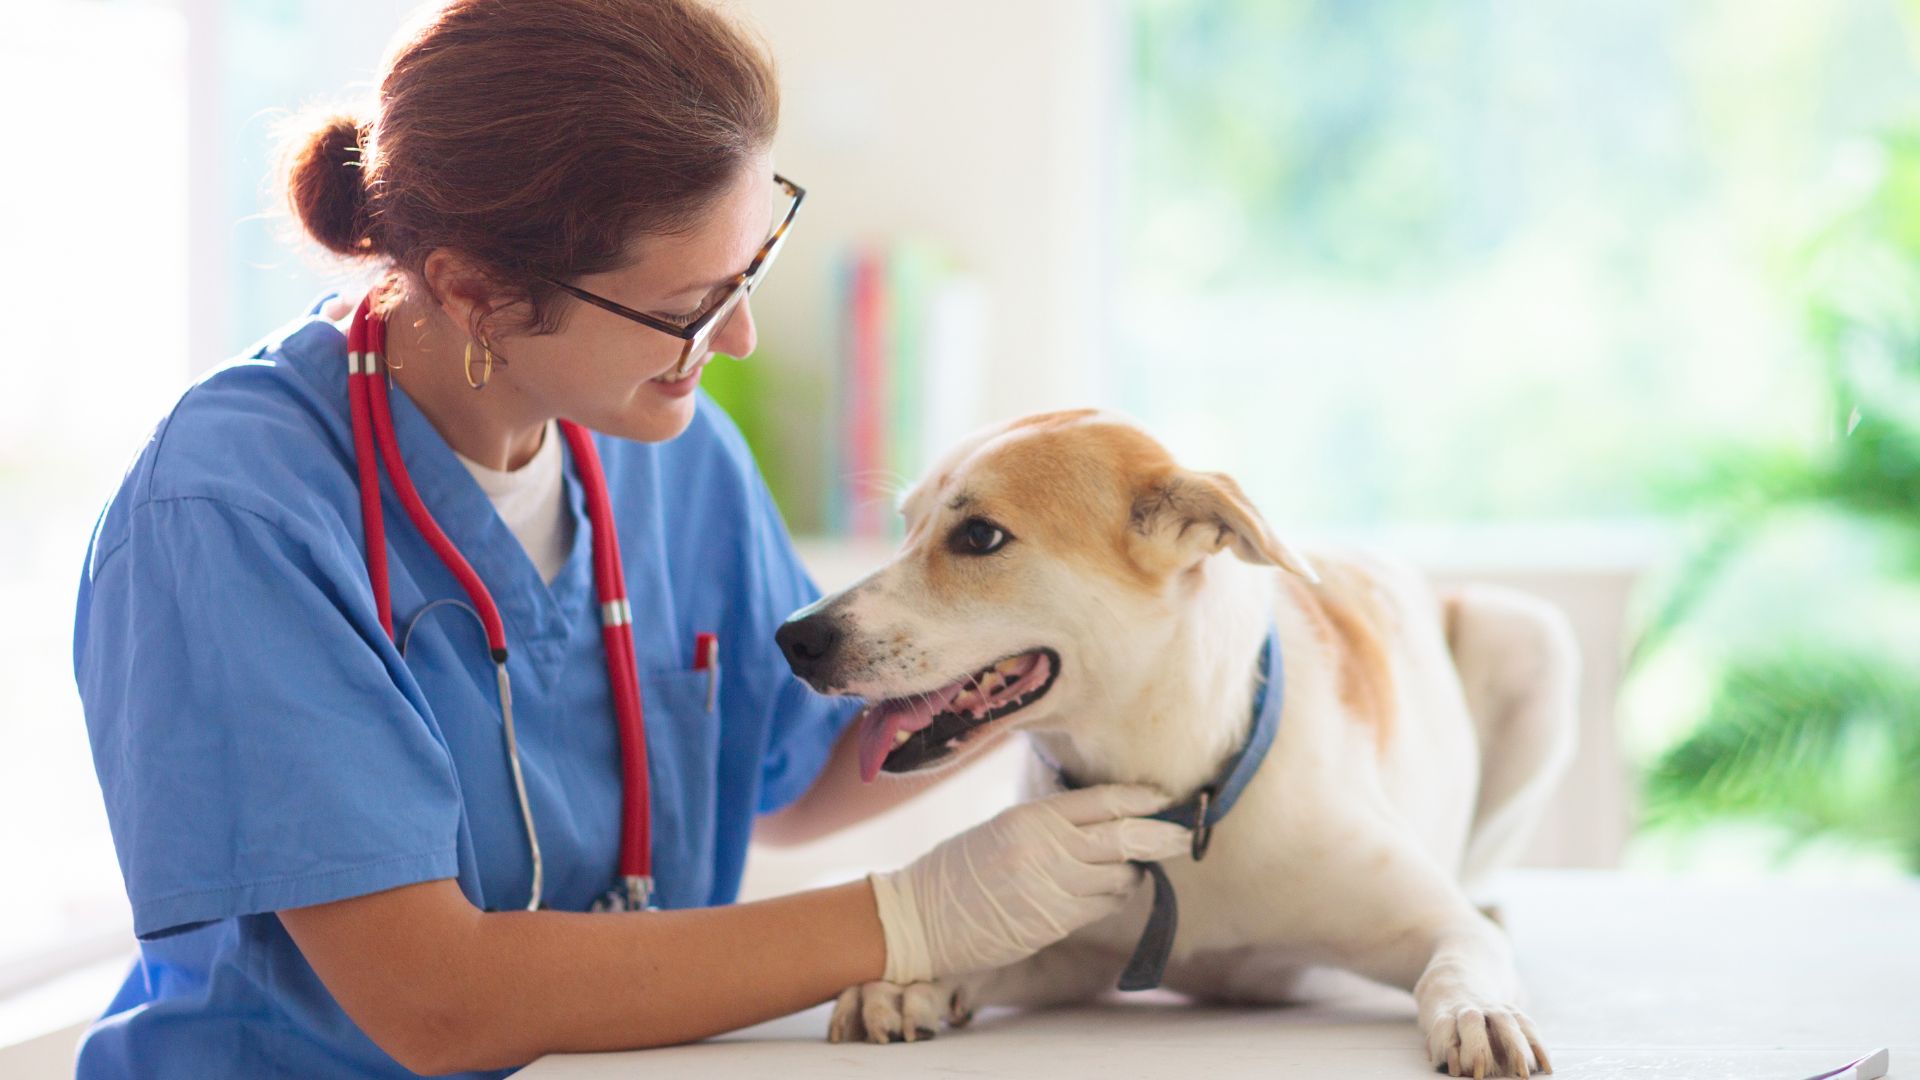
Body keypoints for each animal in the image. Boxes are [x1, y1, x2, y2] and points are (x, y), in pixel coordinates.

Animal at [775, 407, 1574, 1068]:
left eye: (980, 536)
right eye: (906, 524)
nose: (793, 638)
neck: (1178, 793)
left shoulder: (1434, 923)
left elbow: (1459, 957)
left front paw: (1479, 1013)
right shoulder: (1077, 954)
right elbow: (983, 947)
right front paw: (912, 978)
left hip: (1533, 640)